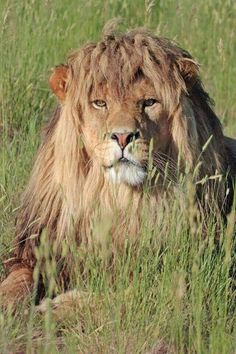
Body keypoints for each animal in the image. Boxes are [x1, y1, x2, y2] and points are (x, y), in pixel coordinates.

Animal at [0, 27, 236, 306]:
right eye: (100, 103)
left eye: (149, 102)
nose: (123, 137)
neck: (115, 200)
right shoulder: (36, 253)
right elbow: (17, 281)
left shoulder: (164, 277)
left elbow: (101, 299)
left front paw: (53, 308)